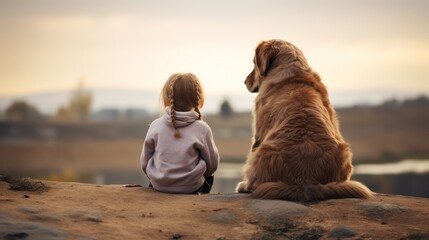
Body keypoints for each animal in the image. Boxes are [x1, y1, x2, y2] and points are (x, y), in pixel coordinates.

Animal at [236, 39, 372, 202]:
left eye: (253, 62)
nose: (244, 81)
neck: (291, 72)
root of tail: (305, 180)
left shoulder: (258, 132)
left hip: (262, 150)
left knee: (254, 182)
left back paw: (244, 186)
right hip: (345, 151)